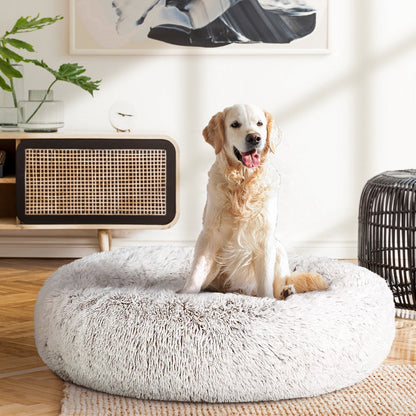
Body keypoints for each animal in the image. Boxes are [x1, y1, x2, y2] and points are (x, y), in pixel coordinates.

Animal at [179, 104, 328, 300]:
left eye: (259, 123)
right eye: (235, 124)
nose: (254, 138)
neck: (243, 183)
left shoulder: (265, 238)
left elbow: (266, 283)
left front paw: (267, 300)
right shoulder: (210, 233)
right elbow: (197, 270)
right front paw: (185, 294)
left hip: (279, 249)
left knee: (280, 281)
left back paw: (285, 291)